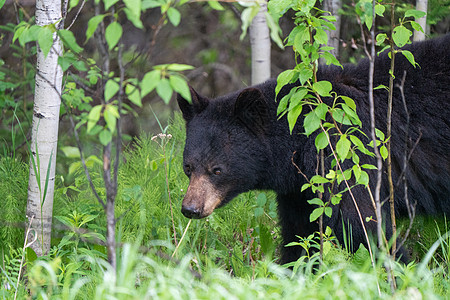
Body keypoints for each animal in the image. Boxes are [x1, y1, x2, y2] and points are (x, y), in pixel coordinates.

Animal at [177, 34, 450, 264]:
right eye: (188, 167)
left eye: (217, 170)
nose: (190, 208)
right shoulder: (298, 191)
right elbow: (300, 236)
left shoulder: (345, 161)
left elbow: (362, 227)